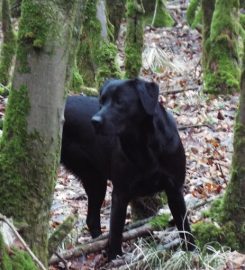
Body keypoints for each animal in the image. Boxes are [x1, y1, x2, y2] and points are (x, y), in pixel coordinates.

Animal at [60, 78, 194, 260]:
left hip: (95, 180)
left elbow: (184, 225)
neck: (143, 146)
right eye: (102, 101)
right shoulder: (120, 193)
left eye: (120, 102)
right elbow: (116, 230)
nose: (94, 121)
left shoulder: (174, 189)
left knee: (92, 219)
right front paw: (114, 258)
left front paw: (192, 251)